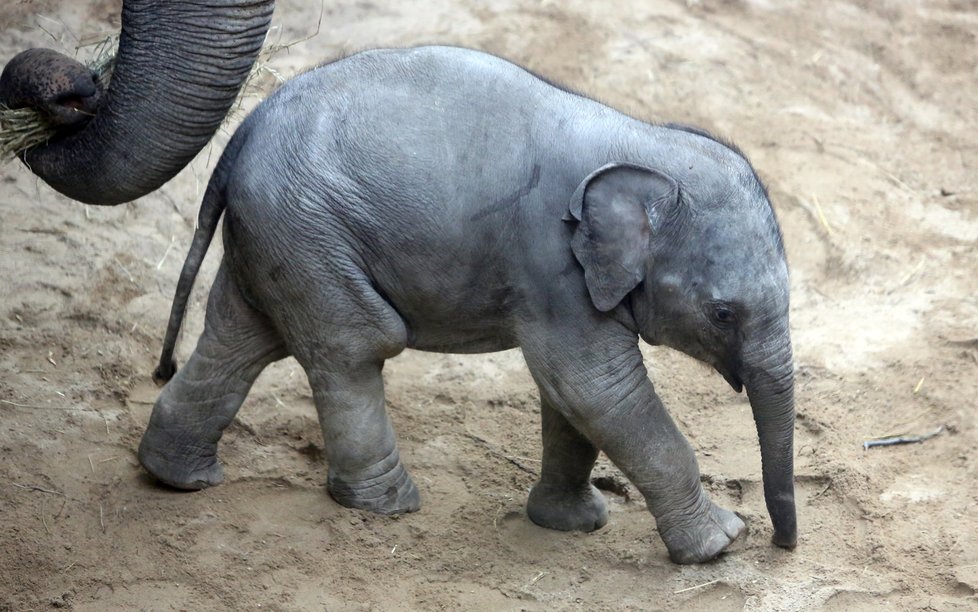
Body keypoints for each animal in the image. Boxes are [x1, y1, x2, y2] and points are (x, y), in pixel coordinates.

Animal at [135, 46, 792, 564]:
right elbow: (596, 387)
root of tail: (241, 133)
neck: (643, 139)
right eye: (723, 313)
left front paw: (573, 524)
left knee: (240, 335)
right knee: (355, 344)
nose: (782, 544)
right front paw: (719, 545)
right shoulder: (549, 260)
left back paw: (177, 477)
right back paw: (390, 505)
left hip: (275, 236)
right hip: (305, 231)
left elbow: (569, 394)